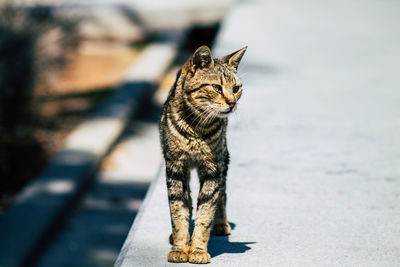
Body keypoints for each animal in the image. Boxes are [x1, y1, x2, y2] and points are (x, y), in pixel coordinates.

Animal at [159, 45, 247, 264]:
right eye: (216, 87)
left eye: (236, 88)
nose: (232, 102)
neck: (196, 128)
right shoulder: (175, 168)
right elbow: (178, 212)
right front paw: (180, 248)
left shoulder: (212, 168)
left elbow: (206, 211)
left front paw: (197, 250)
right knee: (189, 200)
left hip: (223, 158)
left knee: (222, 194)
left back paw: (221, 223)